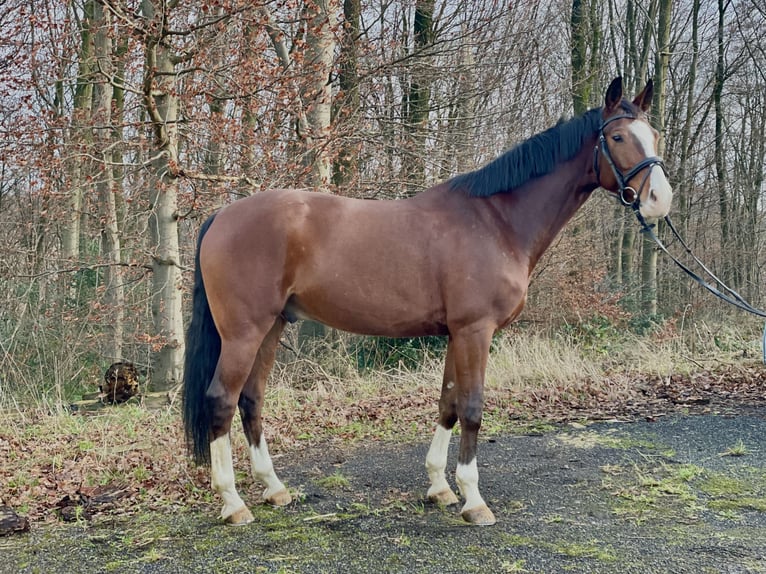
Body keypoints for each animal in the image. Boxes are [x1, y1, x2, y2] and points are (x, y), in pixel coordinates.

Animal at [182, 76, 672, 528]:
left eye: (654, 135)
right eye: (617, 137)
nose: (659, 201)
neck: (496, 221)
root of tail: (222, 215)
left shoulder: (457, 333)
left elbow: (448, 404)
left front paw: (440, 487)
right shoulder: (476, 331)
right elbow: (472, 408)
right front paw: (474, 500)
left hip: (273, 326)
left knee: (251, 400)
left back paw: (274, 488)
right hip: (243, 331)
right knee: (222, 401)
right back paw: (233, 504)